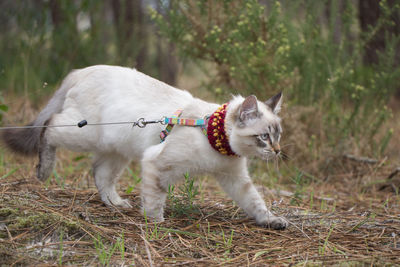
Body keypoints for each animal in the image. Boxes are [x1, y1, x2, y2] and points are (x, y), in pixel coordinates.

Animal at [0, 65, 288, 230]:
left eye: (278, 136)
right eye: (264, 137)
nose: (276, 151)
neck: (214, 137)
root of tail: (82, 70)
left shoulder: (234, 177)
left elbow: (255, 202)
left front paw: (272, 221)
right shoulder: (157, 164)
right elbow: (154, 199)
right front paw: (157, 224)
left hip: (116, 150)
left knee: (100, 174)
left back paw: (116, 204)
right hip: (85, 133)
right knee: (49, 127)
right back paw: (43, 171)